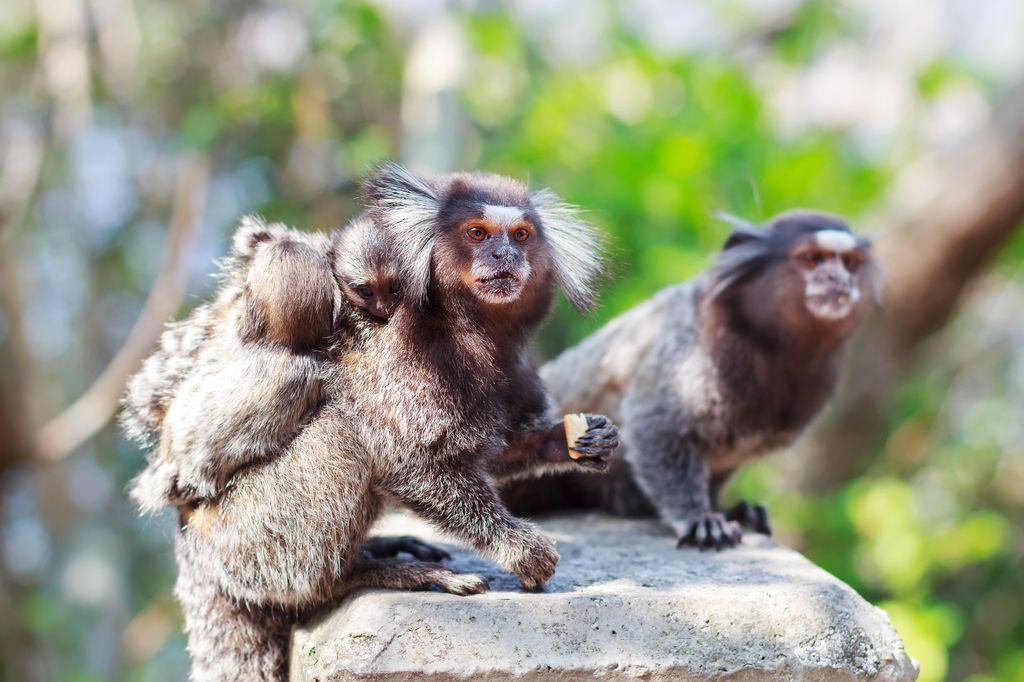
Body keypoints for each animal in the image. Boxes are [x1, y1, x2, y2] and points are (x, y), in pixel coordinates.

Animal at [149, 164, 619, 680]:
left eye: (520, 235)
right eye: (477, 233)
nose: (504, 255)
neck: (472, 329)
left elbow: (494, 454)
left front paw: (573, 441)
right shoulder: (405, 356)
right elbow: (410, 461)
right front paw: (520, 548)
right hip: (244, 535)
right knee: (341, 438)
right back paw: (363, 574)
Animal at [504, 209, 879, 551]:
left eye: (850, 264)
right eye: (812, 260)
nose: (838, 280)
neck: (770, 348)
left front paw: (728, 509)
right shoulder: (689, 358)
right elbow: (656, 426)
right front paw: (699, 517)